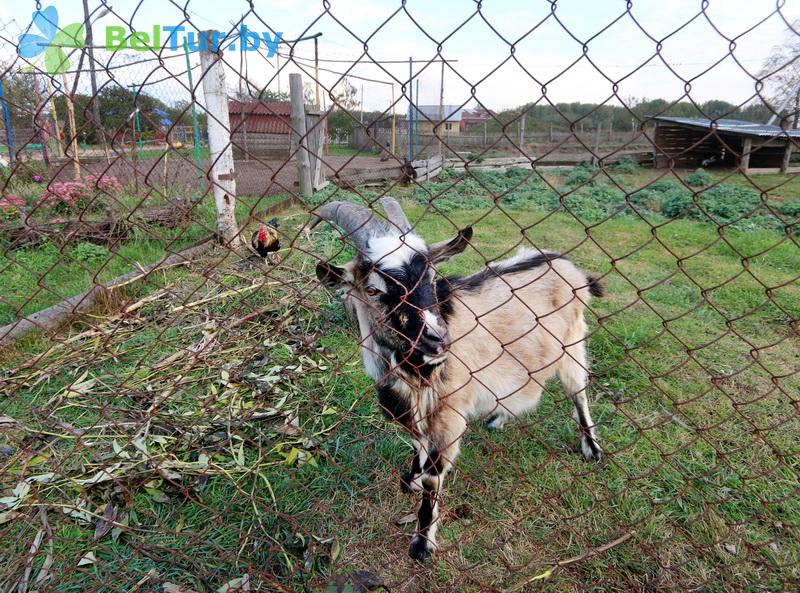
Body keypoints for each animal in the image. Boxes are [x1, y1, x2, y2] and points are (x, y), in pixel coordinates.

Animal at [312, 198, 600, 560]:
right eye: (372, 289)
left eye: (431, 277)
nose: (437, 340)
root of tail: (567, 264)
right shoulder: (416, 412)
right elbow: (417, 447)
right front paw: (411, 478)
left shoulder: (449, 413)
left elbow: (434, 477)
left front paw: (422, 543)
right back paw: (498, 417)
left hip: (573, 342)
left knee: (579, 392)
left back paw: (592, 448)